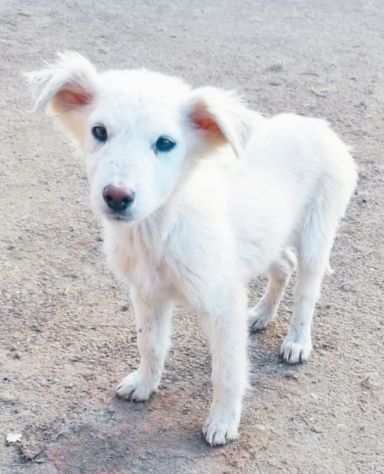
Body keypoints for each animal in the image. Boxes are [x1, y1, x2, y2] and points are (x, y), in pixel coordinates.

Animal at [26, 53, 356, 446]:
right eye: (99, 132)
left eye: (165, 143)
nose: (117, 197)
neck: (160, 227)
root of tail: (316, 125)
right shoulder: (147, 293)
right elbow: (151, 344)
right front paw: (144, 383)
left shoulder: (223, 302)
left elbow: (227, 371)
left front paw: (223, 421)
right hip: (266, 236)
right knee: (283, 266)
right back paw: (262, 314)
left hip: (316, 234)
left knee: (307, 290)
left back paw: (297, 341)